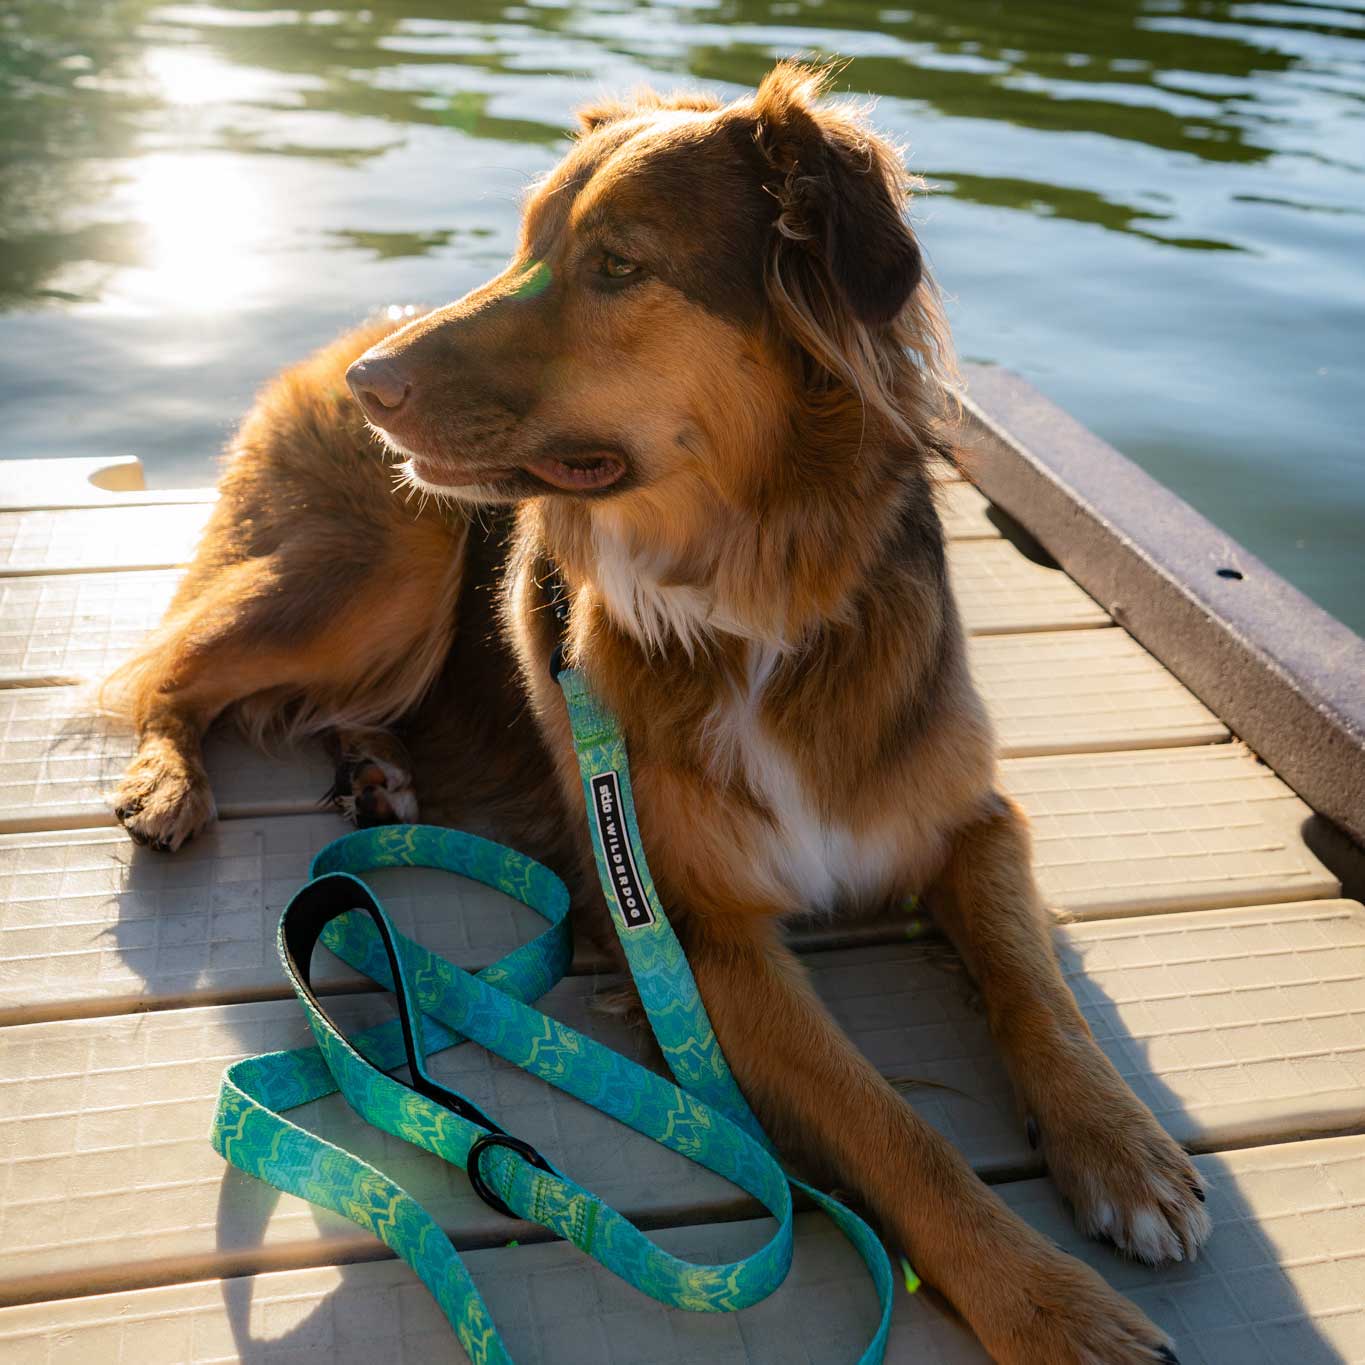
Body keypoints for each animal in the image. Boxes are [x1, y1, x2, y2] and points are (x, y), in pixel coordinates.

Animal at [106, 64, 1206, 1365]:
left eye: (619, 264)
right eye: (526, 244)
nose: (378, 392)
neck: (756, 602)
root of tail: (350, 334)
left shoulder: (972, 822)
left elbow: (1038, 992)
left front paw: (1124, 1152)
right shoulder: (694, 927)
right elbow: (891, 1128)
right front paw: (1046, 1304)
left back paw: (378, 770)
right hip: (380, 571)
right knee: (167, 673)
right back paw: (168, 781)